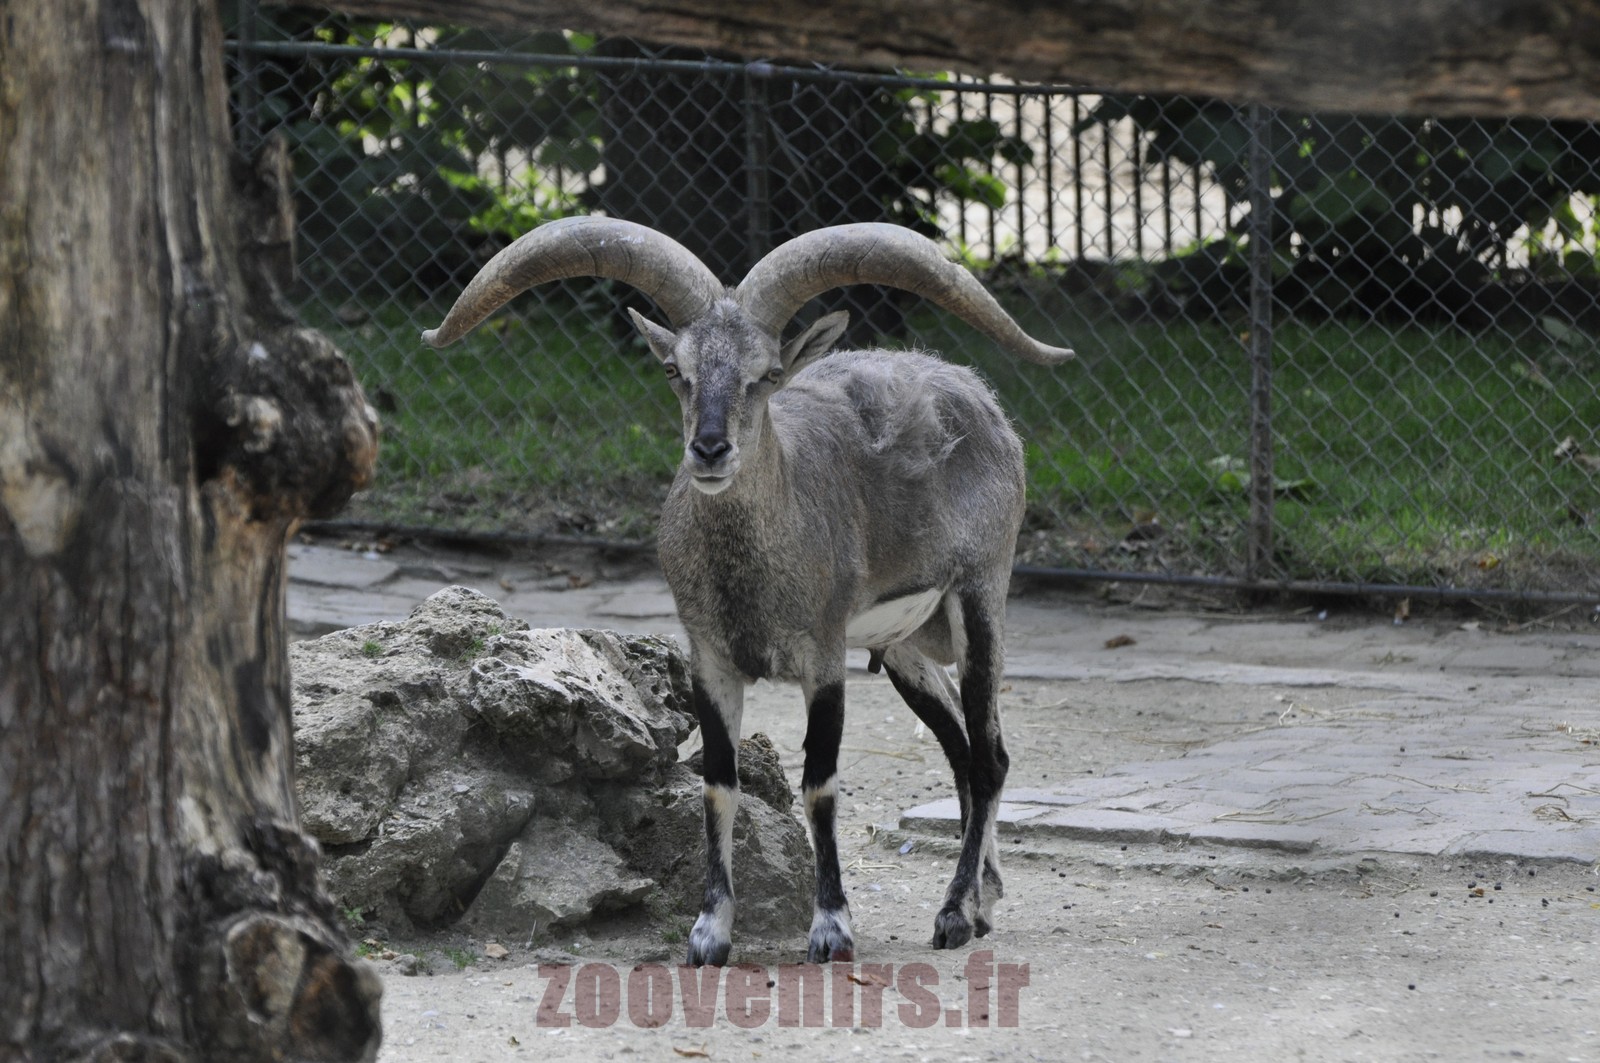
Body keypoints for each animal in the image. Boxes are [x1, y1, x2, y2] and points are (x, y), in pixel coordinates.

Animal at [422, 217, 1073, 965]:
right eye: (675, 370)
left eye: (766, 375)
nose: (709, 450)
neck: (752, 572)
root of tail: (979, 396)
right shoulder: (711, 659)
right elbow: (717, 783)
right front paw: (710, 933)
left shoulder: (822, 656)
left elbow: (819, 782)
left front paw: (831, 928)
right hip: (904, 644)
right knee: (963, 752)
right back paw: (982, 900)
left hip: (980, 595)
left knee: (991, 755)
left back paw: (955, 914)